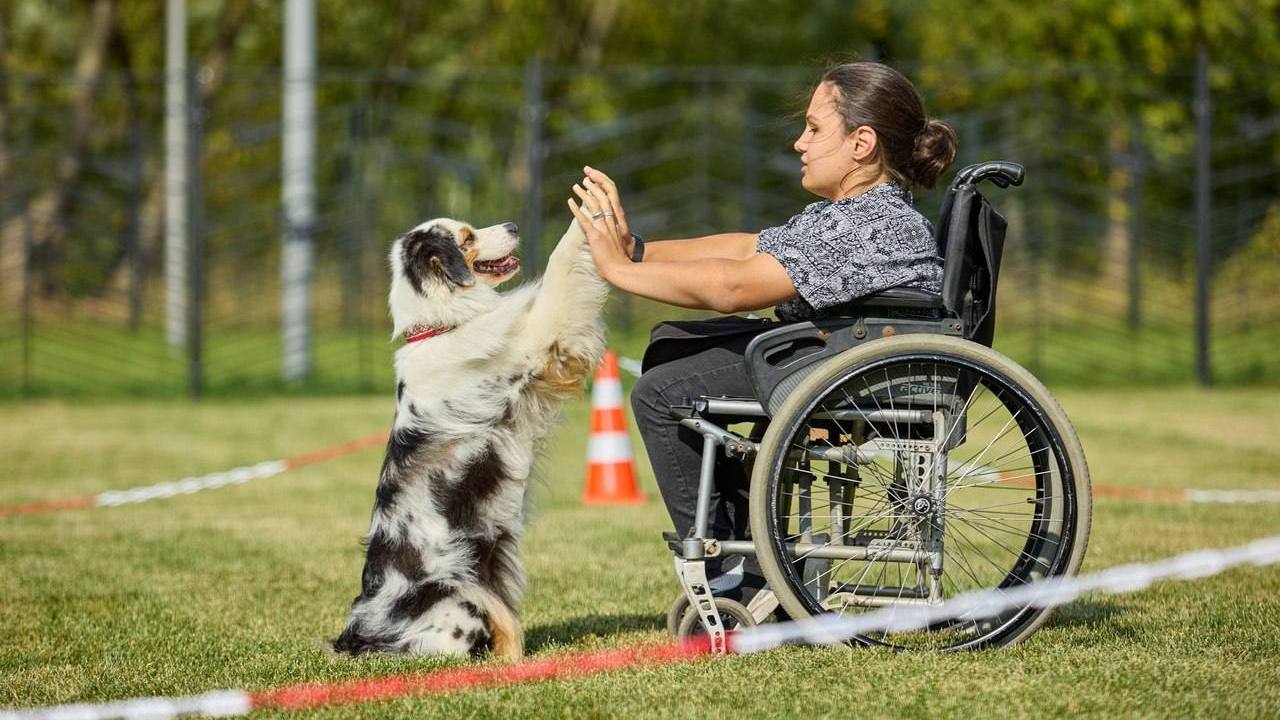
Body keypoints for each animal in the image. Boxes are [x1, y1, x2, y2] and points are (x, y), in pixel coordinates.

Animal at [332, 215, 606, 661]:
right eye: (467, 237)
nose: (513, 225)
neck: (442, 327)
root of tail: (355, 635)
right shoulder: (531, 348)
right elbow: (558, 271)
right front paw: (586, 217)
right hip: (456, 604)